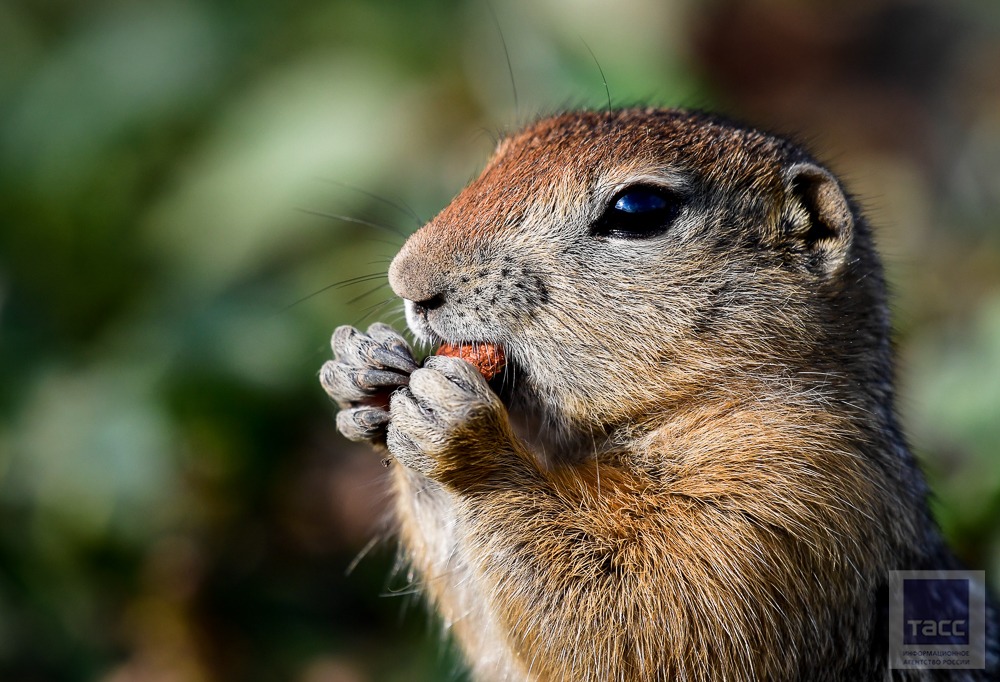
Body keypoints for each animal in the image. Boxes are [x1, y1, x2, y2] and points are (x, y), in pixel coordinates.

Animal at [318, 109, 992, 676]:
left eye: (639, 208)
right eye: (498, 156)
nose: (407, 278)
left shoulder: (797, 500)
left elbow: (642, 618)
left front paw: (462, 434)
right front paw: (364, 372)